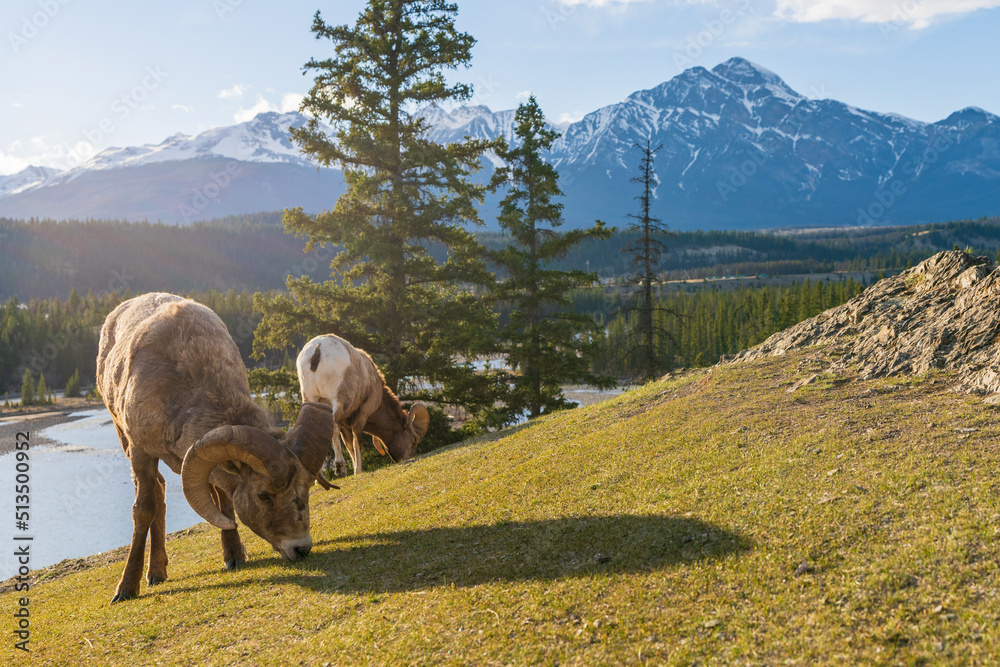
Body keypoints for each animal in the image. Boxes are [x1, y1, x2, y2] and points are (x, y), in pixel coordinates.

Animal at [97, 292, 335, 603]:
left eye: (306, 490)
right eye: (263, 495)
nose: (301, 548)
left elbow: (223, 499)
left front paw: (234, 557)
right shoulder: (140, 450)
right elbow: (144, 510)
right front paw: (126, 589)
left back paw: (159, 571)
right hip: (124, 440)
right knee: (157, 495)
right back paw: (155, 575)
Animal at [296, 334, 430, 477]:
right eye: (414, 440)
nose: (410, 457)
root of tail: (318, 349)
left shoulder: (345, 425)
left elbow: (350, 446)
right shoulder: (361, 415)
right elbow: (357, 443)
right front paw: (358, 470)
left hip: (310, 400)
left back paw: (317, 477)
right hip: (339, 402)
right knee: (333, 425)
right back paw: (340, 468)